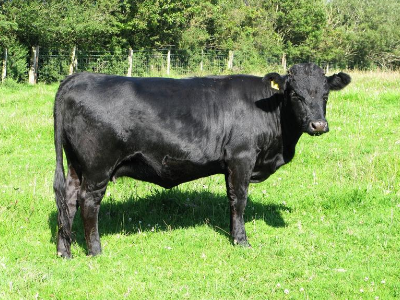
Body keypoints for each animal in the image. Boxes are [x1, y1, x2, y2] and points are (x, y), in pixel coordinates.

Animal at [52, 62, 350, 256]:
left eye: (325, 94)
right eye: (295, 94)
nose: (318, 125)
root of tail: (77, 78)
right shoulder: (241, 157)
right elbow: (239, 200)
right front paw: (241, 241)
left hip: (77, 166)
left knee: (68, 200)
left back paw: (64, 251)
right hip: (98, 166)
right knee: (88, 202)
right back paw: (95, 250)